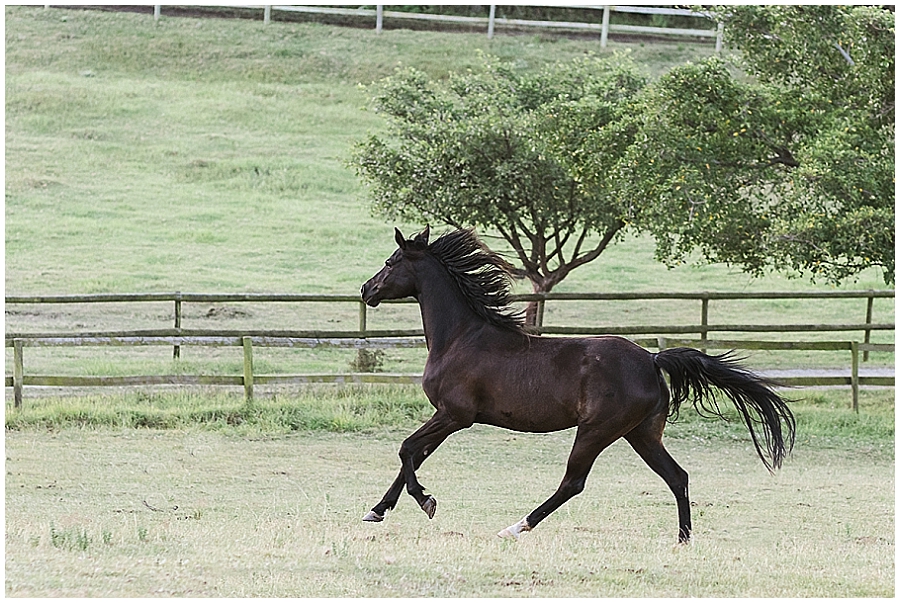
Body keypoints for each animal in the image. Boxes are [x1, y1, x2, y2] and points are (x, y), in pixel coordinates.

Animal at [360, 226, 795, 543]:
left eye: (390, 261)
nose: (366, 290)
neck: (460, 337)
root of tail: (652, 360)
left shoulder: (455, 415)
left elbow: (406, 449)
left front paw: (426, 502)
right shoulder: (447, 417)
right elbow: (413, 456)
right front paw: (376, 510)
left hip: (596, 430)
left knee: (573, 482)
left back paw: (515, 527)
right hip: (641, 433)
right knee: (677, 477)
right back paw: (683, 540)